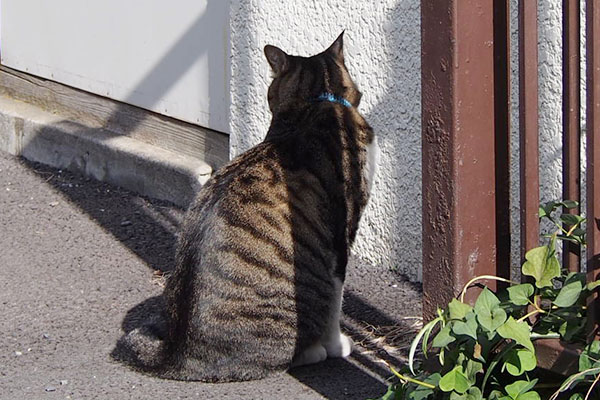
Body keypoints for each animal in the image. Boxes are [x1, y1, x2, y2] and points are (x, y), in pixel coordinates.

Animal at [117, 31, 380, 382]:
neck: (318, 100)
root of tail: (177, 354)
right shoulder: (342, 237)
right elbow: (336, 306)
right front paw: (338, 345)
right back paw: (314, 351)